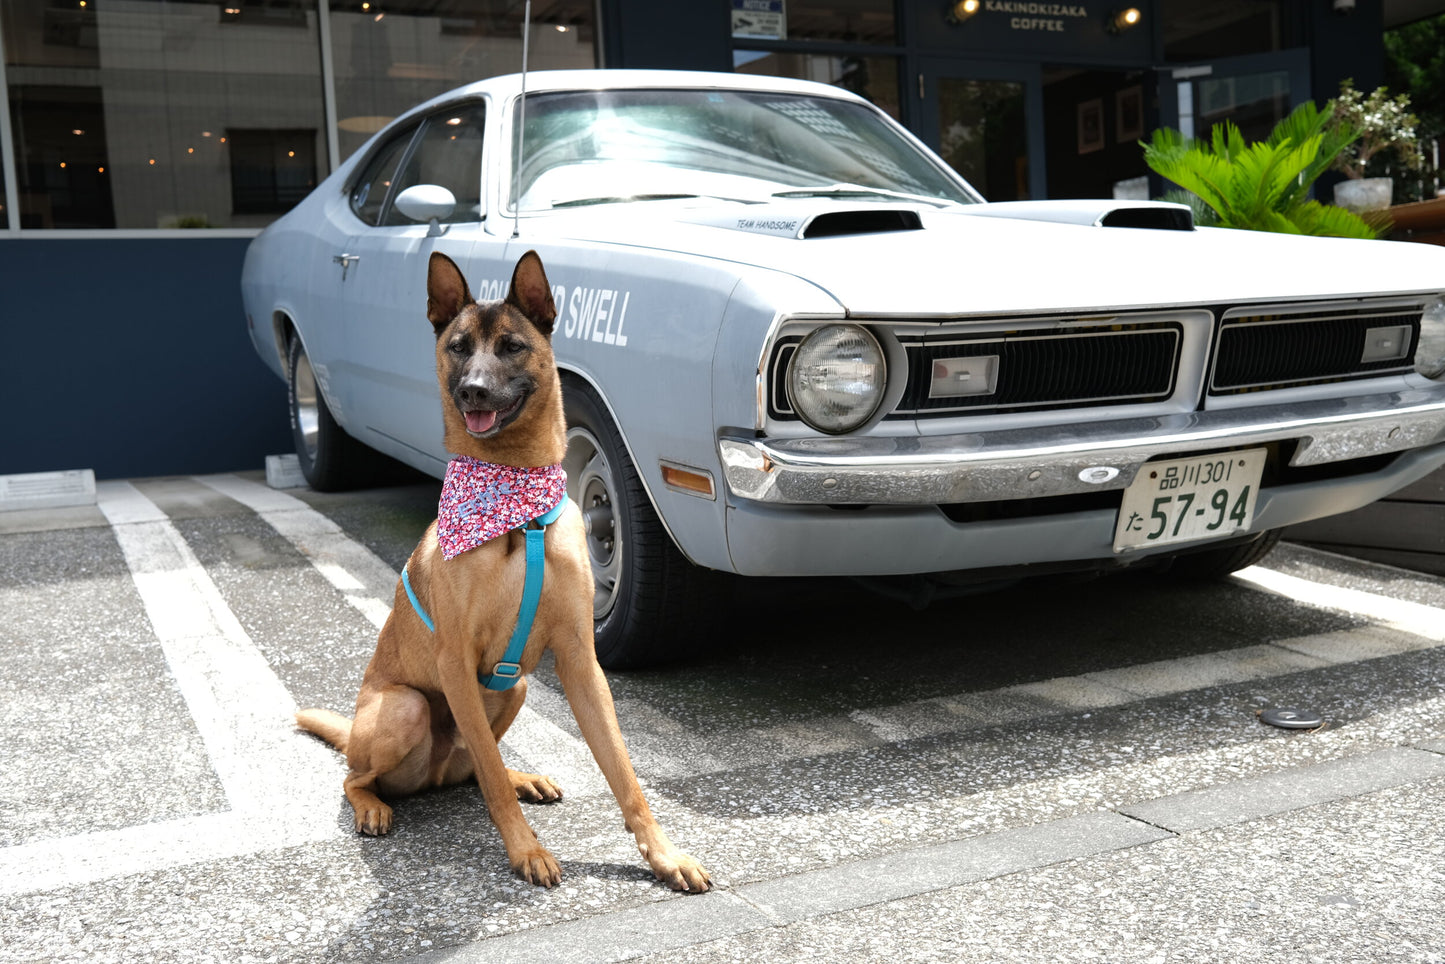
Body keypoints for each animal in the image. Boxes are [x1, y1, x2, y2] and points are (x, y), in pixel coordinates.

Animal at [297, 252, 710, 896]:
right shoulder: (457, 662)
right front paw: (526, 850)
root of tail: (432, 774)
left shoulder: (580, 660)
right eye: (458, 347)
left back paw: (521, 776)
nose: (473, 390)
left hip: (512, 687)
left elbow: (624, 773)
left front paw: (665, 856)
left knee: (473, 760)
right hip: (406, 708)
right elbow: (489, 780)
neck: (517, 504)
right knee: (361, 776)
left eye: (512, 346)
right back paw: (372, 805)